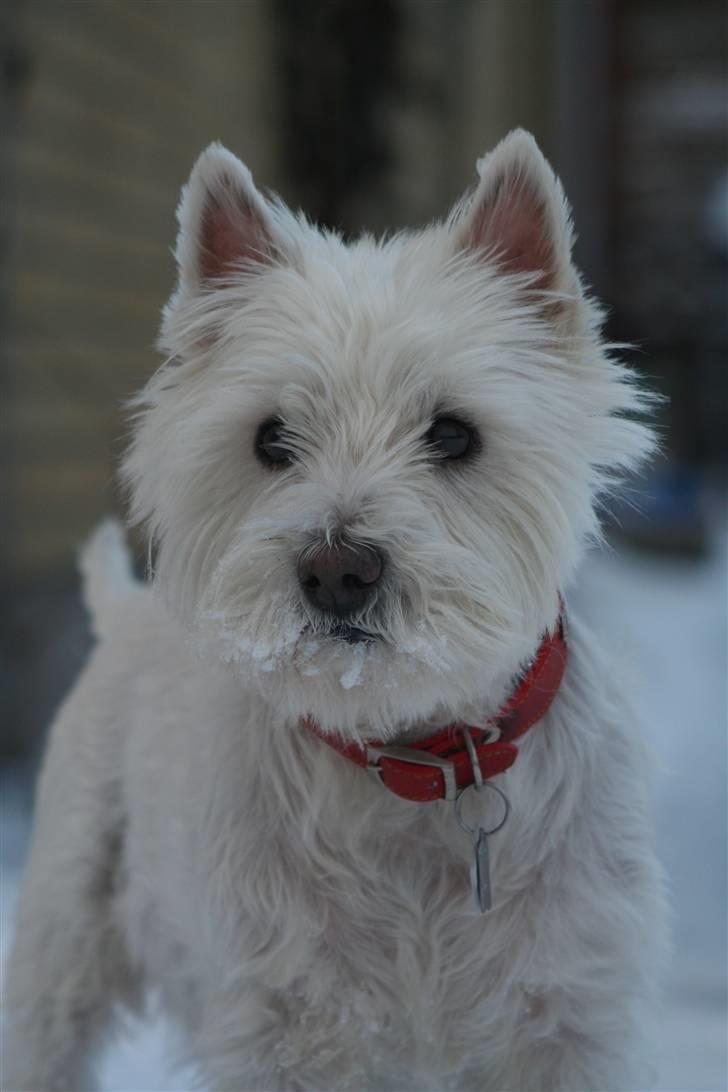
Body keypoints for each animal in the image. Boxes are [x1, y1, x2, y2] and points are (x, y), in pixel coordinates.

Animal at [4, 132, 667, 1087]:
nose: (337, 572)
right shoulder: (287, 1022)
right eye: (271, 438)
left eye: (454, 433)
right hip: (66, 928)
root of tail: (121, 613)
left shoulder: (569, 1013)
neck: (415, 761)